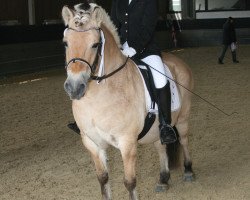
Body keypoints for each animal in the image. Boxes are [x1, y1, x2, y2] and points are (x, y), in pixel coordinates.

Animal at [61, 3, 194, 200]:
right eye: (66, 43)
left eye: (95, 44)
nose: (75, 87)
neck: (97, 98)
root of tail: (177, 60)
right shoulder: (92, 143)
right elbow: (103, 179)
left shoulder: (127, 143)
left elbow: (130, 182)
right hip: (157, 129)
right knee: (160, 146)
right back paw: (163, 179)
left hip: (183, 118)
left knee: (184, 140)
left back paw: (188, 170)